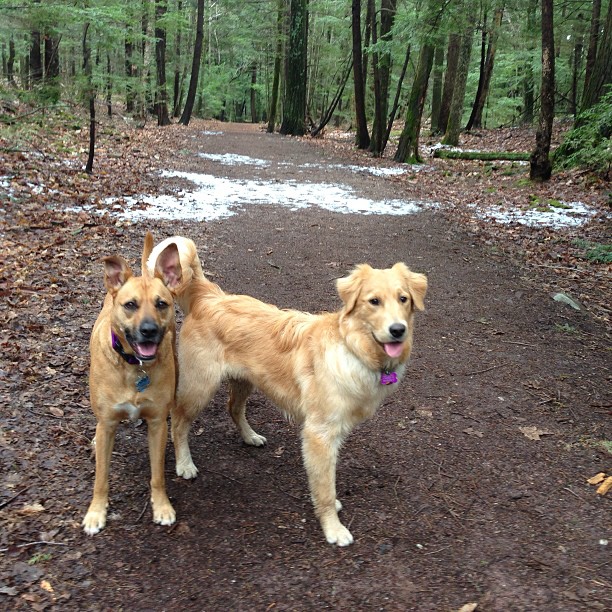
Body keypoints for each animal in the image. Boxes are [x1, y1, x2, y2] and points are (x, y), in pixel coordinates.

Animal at [85, 234, 183, 536]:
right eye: (130, 305)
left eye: (161, 304)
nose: (149, 330)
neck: (134, 366)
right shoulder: (107, 423)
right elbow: (101, 477)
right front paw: (96, 512)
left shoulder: (157, 423)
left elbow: (157, 475)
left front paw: (162, 506)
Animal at [149, 237, 426, 548]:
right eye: (374, 301)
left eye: (403, 299)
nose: (398, 330)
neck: (351, 347)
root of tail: (208, 296)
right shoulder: (319, 434)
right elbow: (325, 487)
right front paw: (333, 528)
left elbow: (326, 480)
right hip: (200, 386)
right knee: (178, 419)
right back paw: (184, 463)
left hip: (245, 380)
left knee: (233, 407)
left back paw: (250, 436)